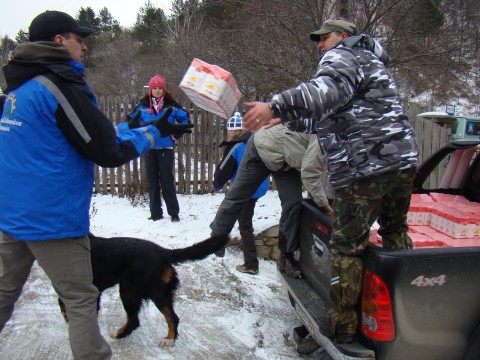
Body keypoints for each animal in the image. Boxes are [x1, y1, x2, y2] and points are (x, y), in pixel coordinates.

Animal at [57, 233, 230, 346]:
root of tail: (162, 251)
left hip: (128, 290)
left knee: (134, 320)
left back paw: (118, 334)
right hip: (158, 292)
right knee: (172, 316)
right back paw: (169, 339)